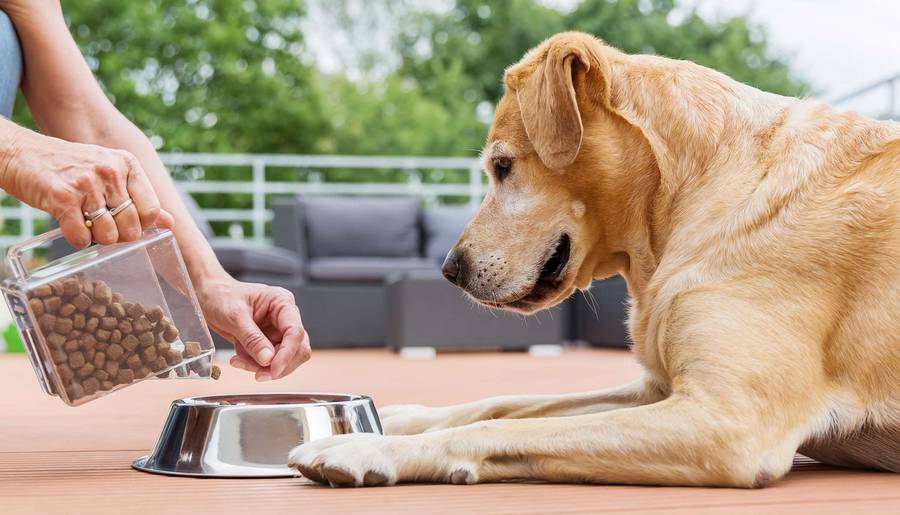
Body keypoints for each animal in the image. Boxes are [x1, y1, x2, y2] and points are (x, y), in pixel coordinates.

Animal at [290, 32, 900, 488]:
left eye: (503, 166)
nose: (449, 270)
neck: (690, 195)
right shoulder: (657, 390)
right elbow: (505, 403)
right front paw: (399, 420)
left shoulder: (728, 421)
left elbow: (509, 430)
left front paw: (366, 450)